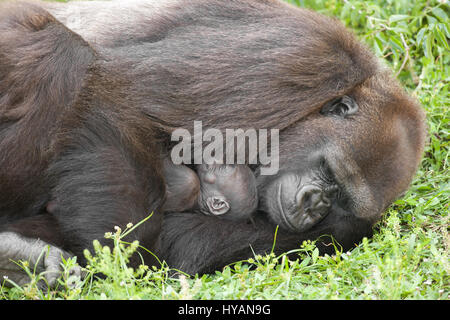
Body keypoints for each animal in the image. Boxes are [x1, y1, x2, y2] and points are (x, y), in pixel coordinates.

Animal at [0, 0, 426, 284]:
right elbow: (116, 98)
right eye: (330, 173)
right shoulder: (297, 57)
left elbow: (184, 244)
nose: (314, 203)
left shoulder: (355, 227)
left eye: (341, 202)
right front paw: (115, 257)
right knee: (61, 53)